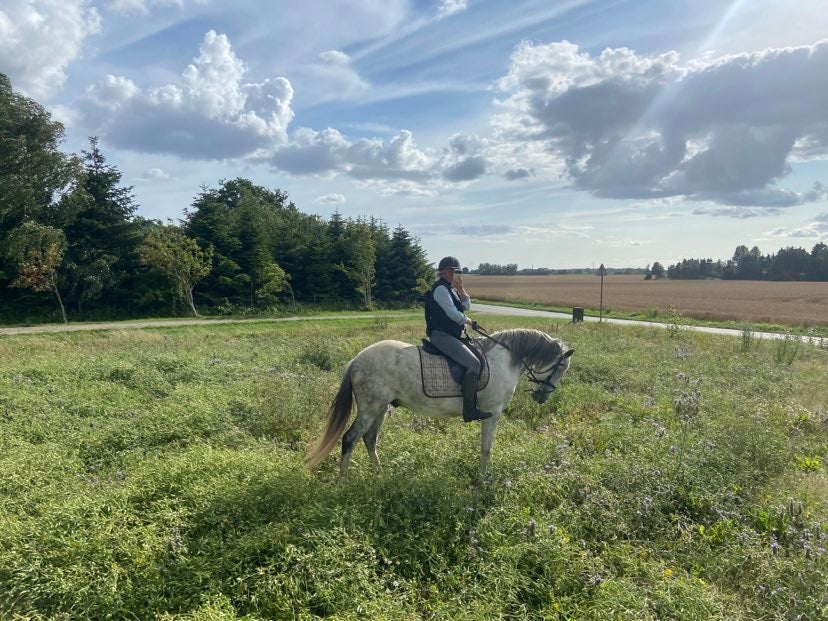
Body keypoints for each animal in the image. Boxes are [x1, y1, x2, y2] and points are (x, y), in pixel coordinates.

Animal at [308, 330, 572, 474]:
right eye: (561, 368)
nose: (542, 397)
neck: (504, 359)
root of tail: (356, 359)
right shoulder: (493, 414)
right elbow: (486, 449)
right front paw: (482, 481)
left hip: (380, 408)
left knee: (369, 439)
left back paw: (380, 474)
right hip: (370, 408)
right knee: (349, 439)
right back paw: (344, 481)